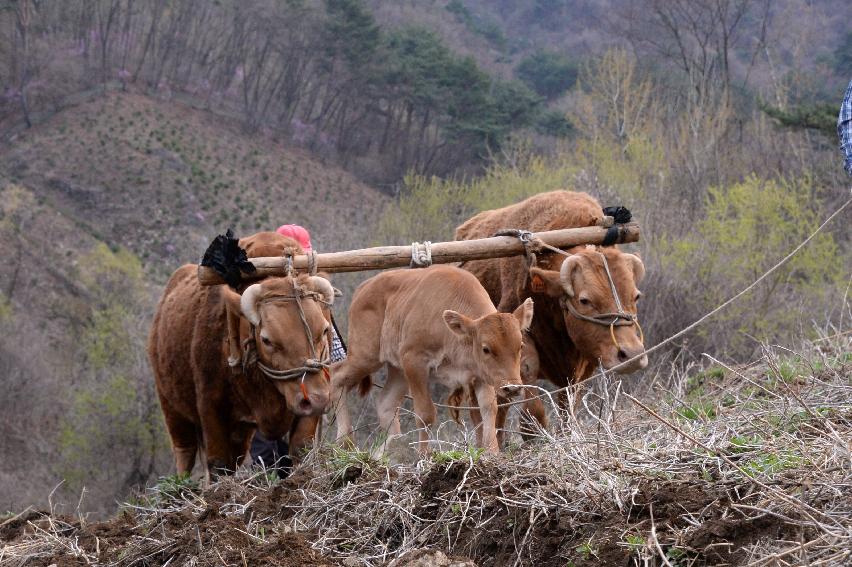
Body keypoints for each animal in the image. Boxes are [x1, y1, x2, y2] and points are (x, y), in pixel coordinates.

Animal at [328, 266, 532, 458]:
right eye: (486, 349)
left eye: (520, 345)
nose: (512, 388)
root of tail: (363, 288)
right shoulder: (415, 362)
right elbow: (425, 414)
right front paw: (424, 455)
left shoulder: (480, 376)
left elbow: (489, 409)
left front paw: (492, 451)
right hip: (365, 356)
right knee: (336, 376)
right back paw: (345, 440)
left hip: (397, 370)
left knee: (386, 402)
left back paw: (389, 448)